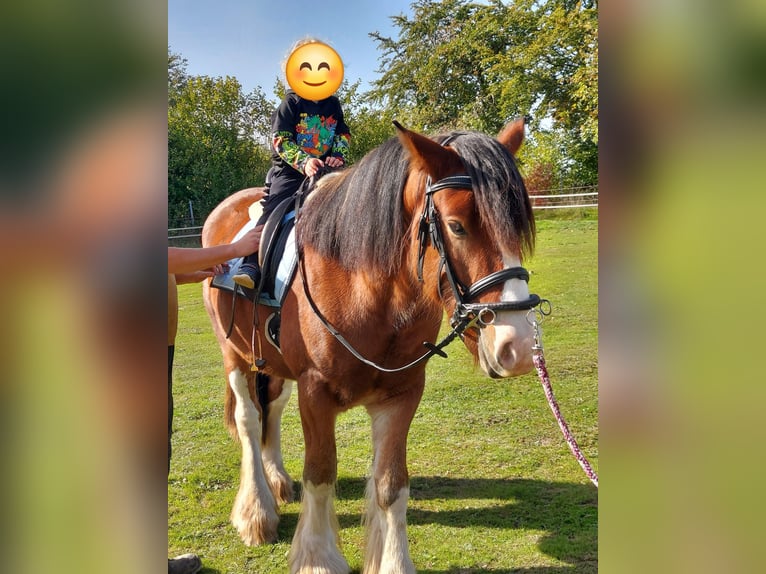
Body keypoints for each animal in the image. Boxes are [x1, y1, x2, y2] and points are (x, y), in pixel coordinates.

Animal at [201, 119, 541, 574]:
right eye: (456, 226)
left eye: (518, 227)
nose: (517, 346)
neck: (364, 286)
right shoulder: (315, 393)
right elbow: (320, 474)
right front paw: (317, 559)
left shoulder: (402, 395)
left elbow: (391, 485)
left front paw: (393, 561)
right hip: (235, 355)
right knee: (249, 420)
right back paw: (257, 511)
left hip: (272, 363)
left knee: (270, 407)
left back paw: (276, 481)